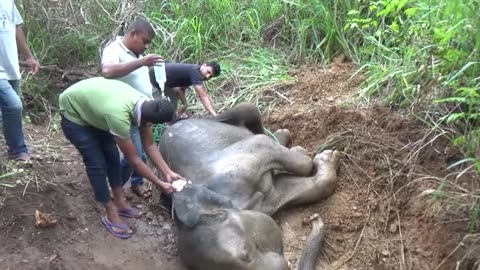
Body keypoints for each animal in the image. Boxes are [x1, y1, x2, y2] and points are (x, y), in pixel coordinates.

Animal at [158, 103, 342, 270]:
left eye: (247, 252)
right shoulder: (268, 201)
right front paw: (325, 158)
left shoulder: (247, 158)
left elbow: (301, 162)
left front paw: (316, 154)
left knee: (250, 114)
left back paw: (284, 136)